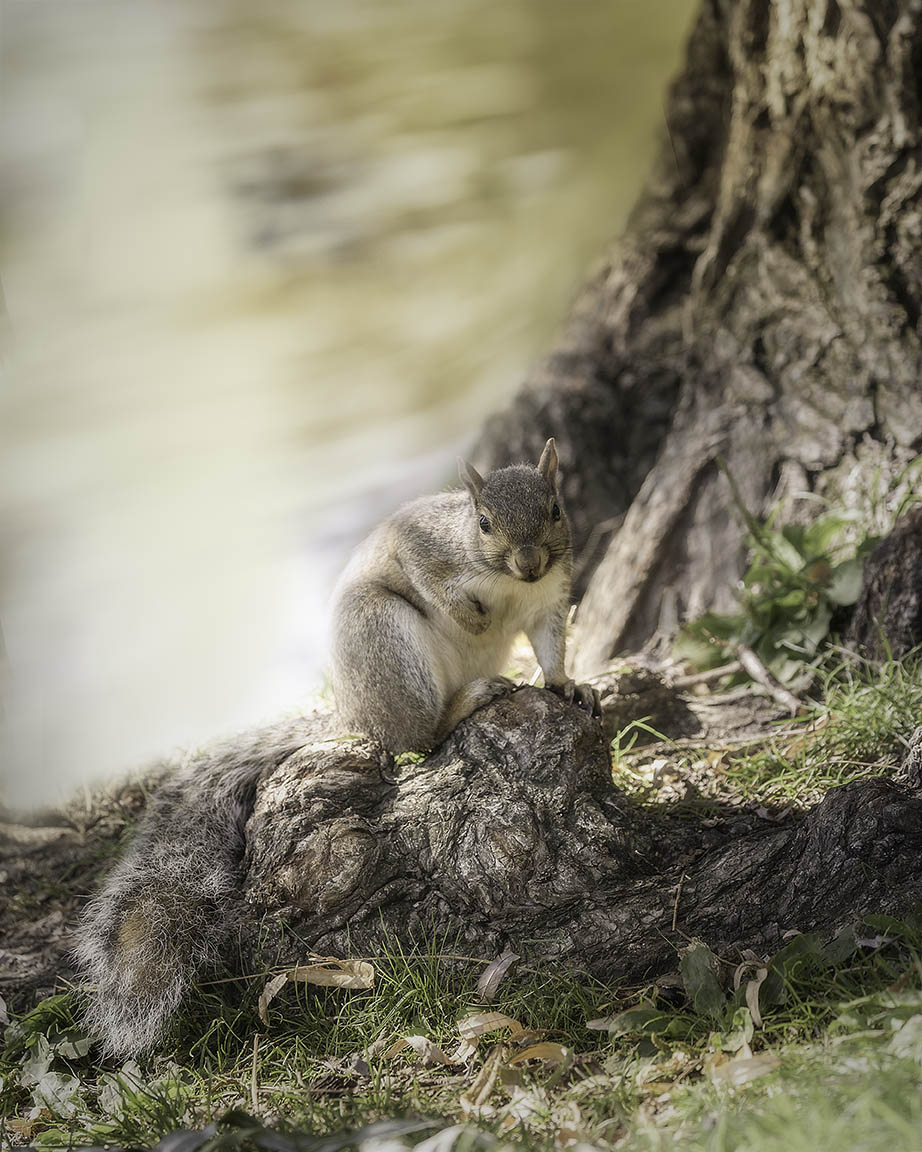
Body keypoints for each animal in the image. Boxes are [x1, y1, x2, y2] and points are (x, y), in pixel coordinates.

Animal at [75, 439, 600, 1058]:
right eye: (483, 523)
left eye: (556, 511)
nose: (530, 563)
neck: (511, 584)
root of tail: (350, 713)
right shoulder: (422, 542)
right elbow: (430, 574)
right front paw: (472, 616)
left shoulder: (550, 597)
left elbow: (551, 645)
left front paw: (566, 684)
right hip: (381, 636)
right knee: (414, 738)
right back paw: (463, 702)